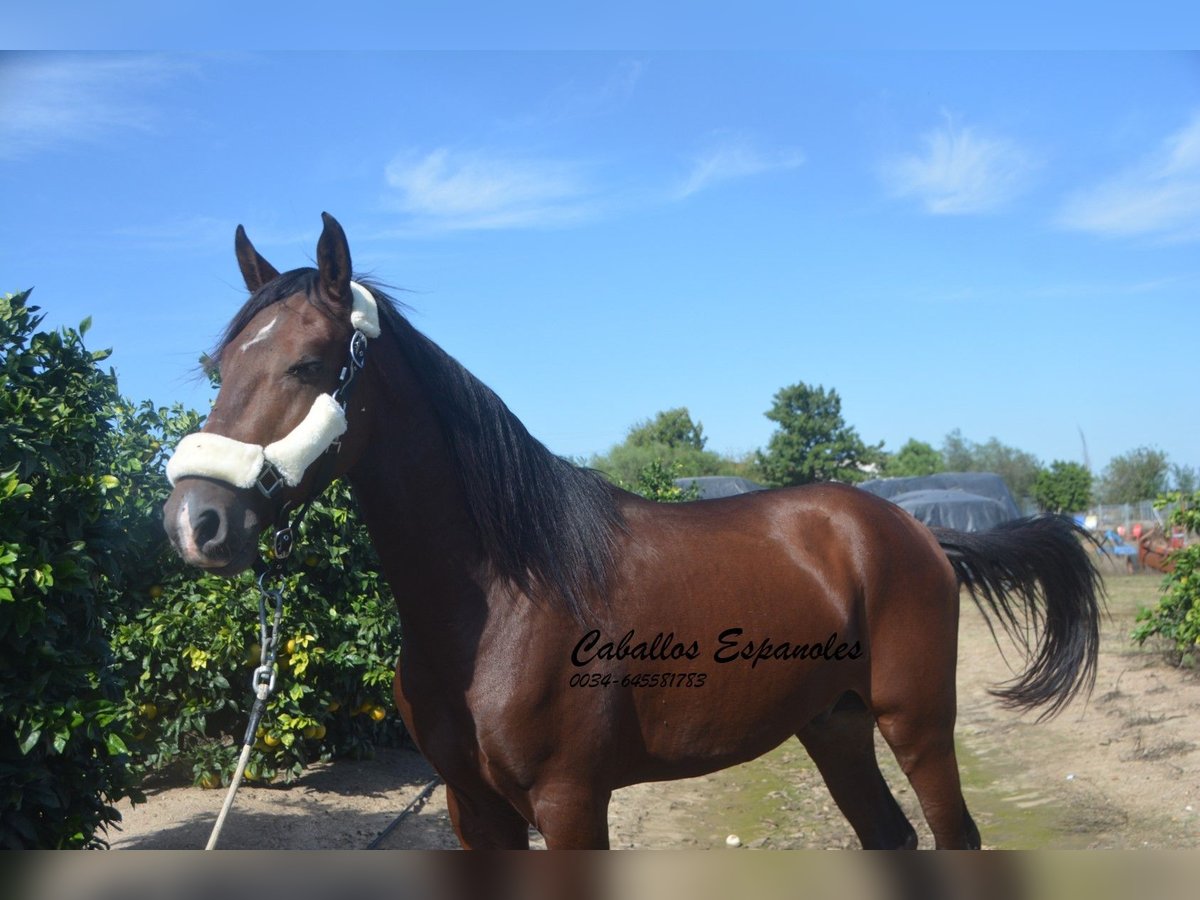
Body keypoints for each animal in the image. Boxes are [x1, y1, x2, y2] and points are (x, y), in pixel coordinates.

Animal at [162, 214, 1104, 849]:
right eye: (220, 366)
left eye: (307, 364)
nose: (194, 521)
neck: (501, 602)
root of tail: (912, 533)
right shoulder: (475, 810)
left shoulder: (571, 803)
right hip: (834, 724)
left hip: (917, 722)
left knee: (953, 837)